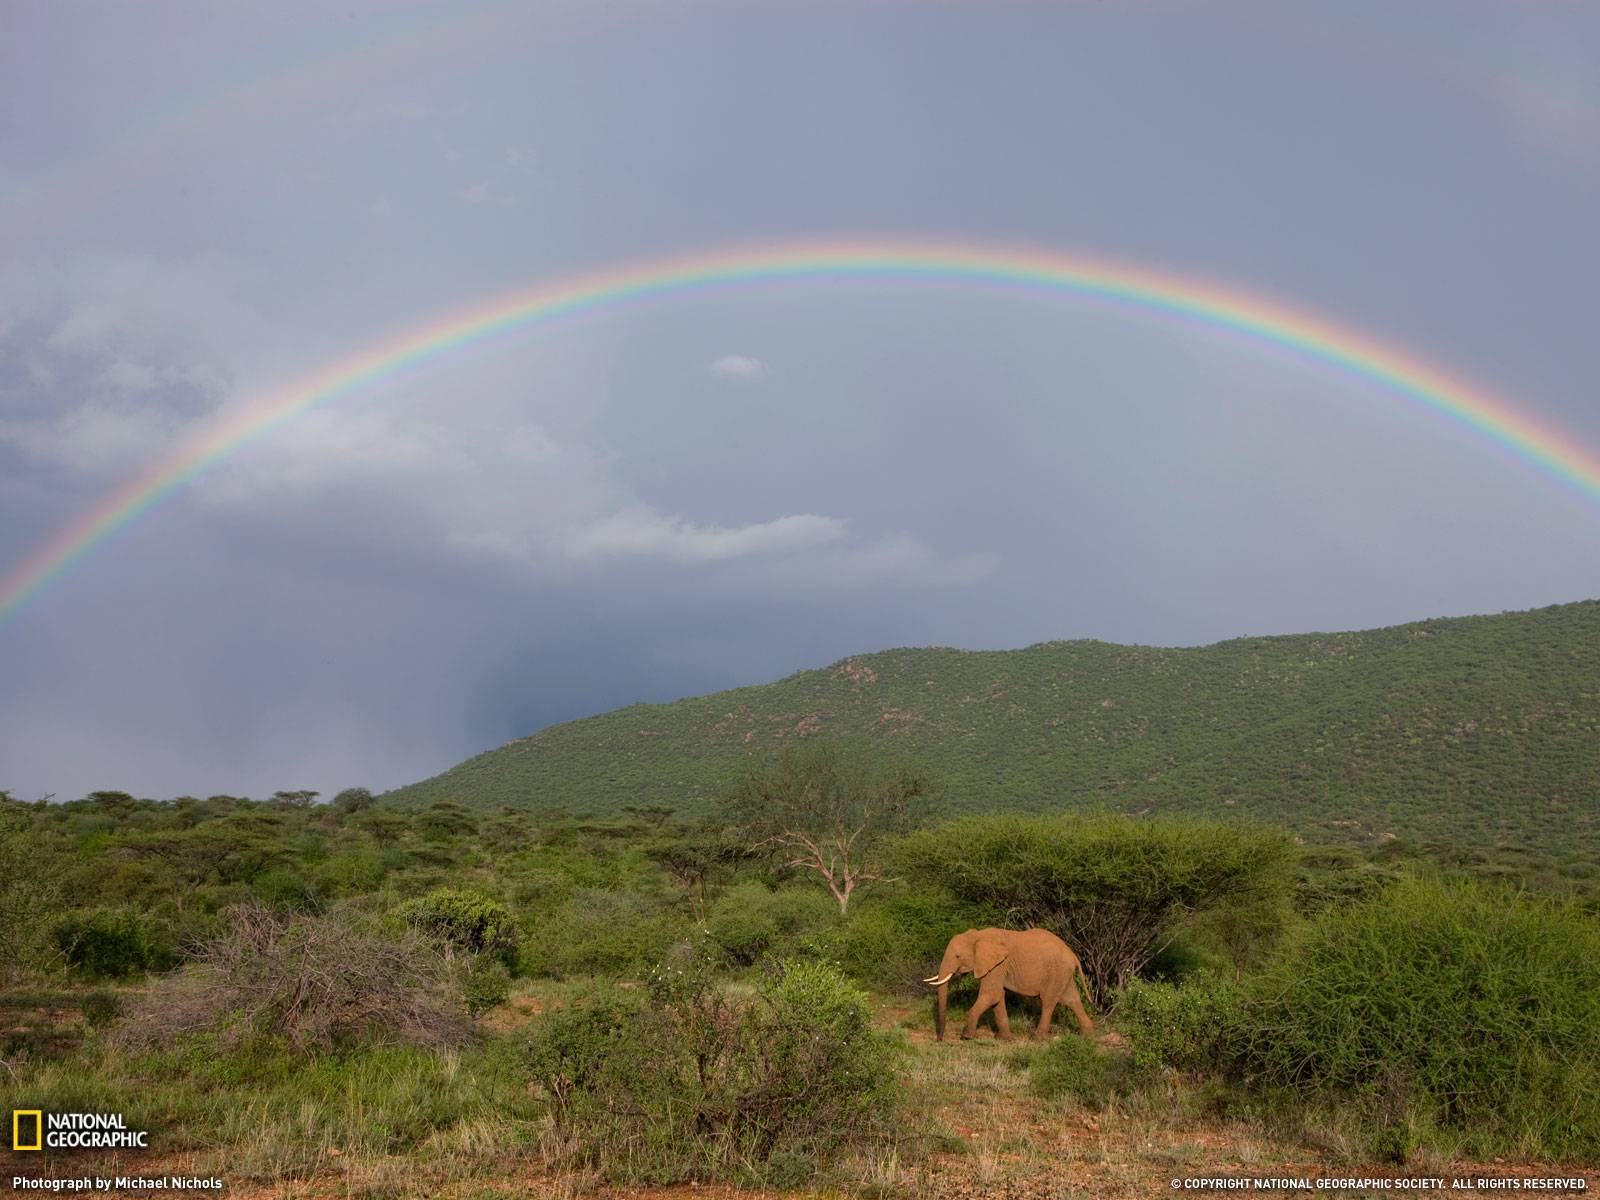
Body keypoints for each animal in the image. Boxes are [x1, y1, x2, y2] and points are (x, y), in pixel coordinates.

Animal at [934, 928, 1094, 1043]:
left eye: (957, 956)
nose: (939, 1039)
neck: (978, 935)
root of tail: (1073, 955)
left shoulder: (999, 965)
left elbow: (991, 995)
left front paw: (966, 1037)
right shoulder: (998, 966)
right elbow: (997, 997)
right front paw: (1003, 1039)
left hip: (1057, 971)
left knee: (1048, 1002)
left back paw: (1037, 1038)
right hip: (1063, 973)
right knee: (1072, 1000)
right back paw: (1088, 1035)